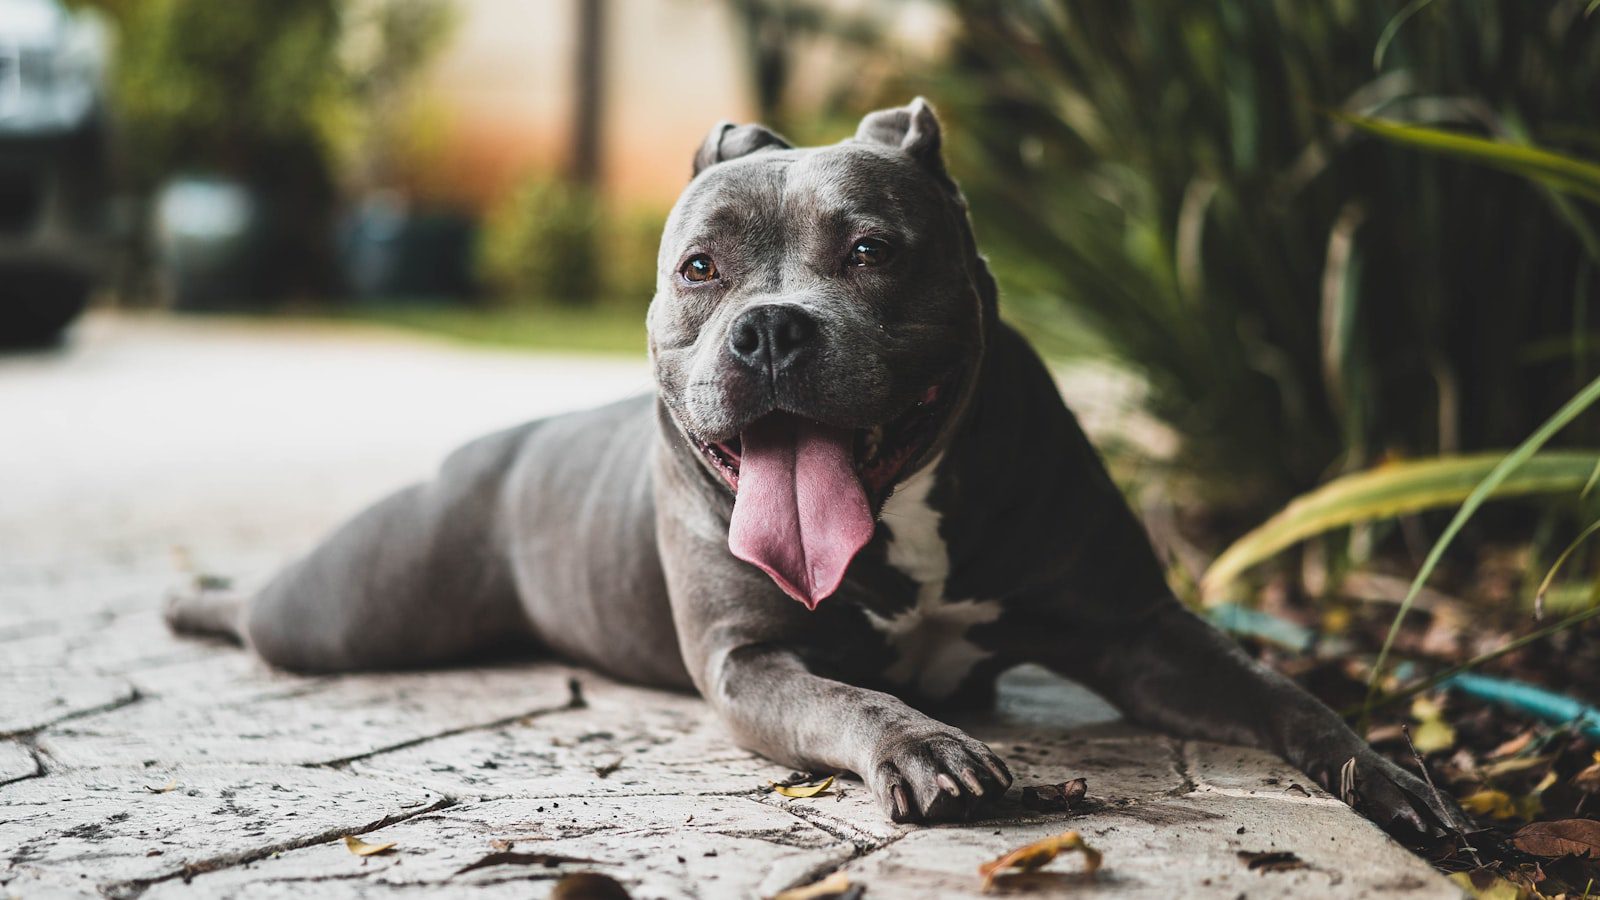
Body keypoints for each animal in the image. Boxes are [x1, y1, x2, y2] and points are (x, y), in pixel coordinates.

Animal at [172, 98, 1465, 832]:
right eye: (698, 269)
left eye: (871, 251)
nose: (770, 330)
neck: (903, 515)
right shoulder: (751, 663)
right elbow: (850, 694)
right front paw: (924, 746)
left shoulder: (1139, 631)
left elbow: (1278, 693)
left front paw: (1379, 773)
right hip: (352, 607)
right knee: (269, 613)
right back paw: (198, 601)